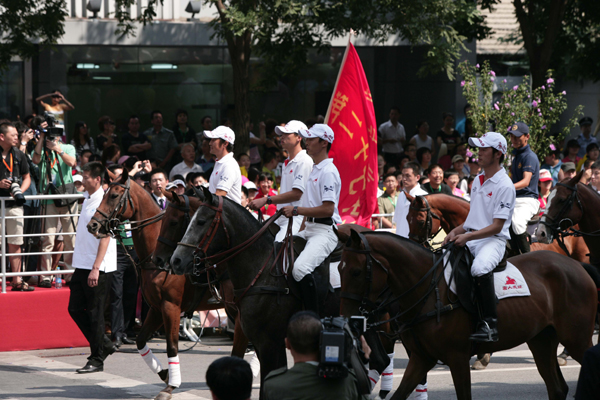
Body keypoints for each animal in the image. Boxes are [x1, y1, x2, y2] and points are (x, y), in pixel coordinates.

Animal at [85, 174, 244, 400]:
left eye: (114, 196)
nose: (93, 226)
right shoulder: (156, 308)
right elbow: (141, 340)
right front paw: (165, 374)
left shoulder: (171, 307)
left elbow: (171, 345)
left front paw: (171, 385)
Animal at [338, 228, 596, 400]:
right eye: (339, 269)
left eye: (356, 271)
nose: (348, 320)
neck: (428, 290)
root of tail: (576, 265)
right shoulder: (422, 358)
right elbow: (400, 394)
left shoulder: (457, 358)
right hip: (541, 340)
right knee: (557, 388)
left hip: (576, 340)